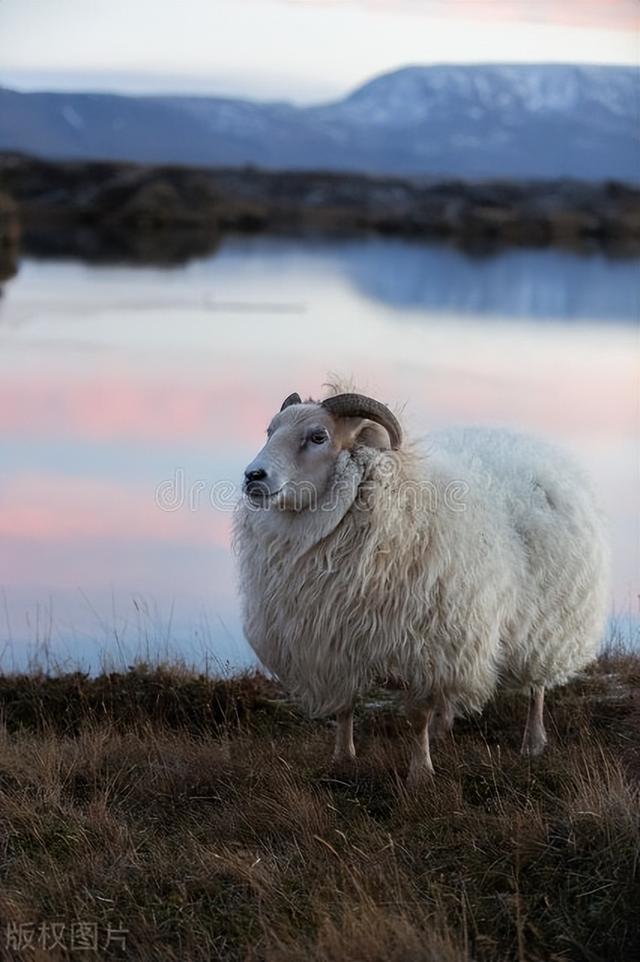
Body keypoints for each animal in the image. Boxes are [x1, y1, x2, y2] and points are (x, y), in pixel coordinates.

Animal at [232, 384, 608, 780]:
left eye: (318, 436)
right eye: (270, 431)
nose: (253, 476)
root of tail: (528, 441)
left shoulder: (427, 645)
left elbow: (417, 715)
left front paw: (420, 772)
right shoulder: (335, 640)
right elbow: (345, 706)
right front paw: (343, 757)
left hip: (549, 623)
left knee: (538, 687)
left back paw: (533, 742)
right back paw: (445, 728)